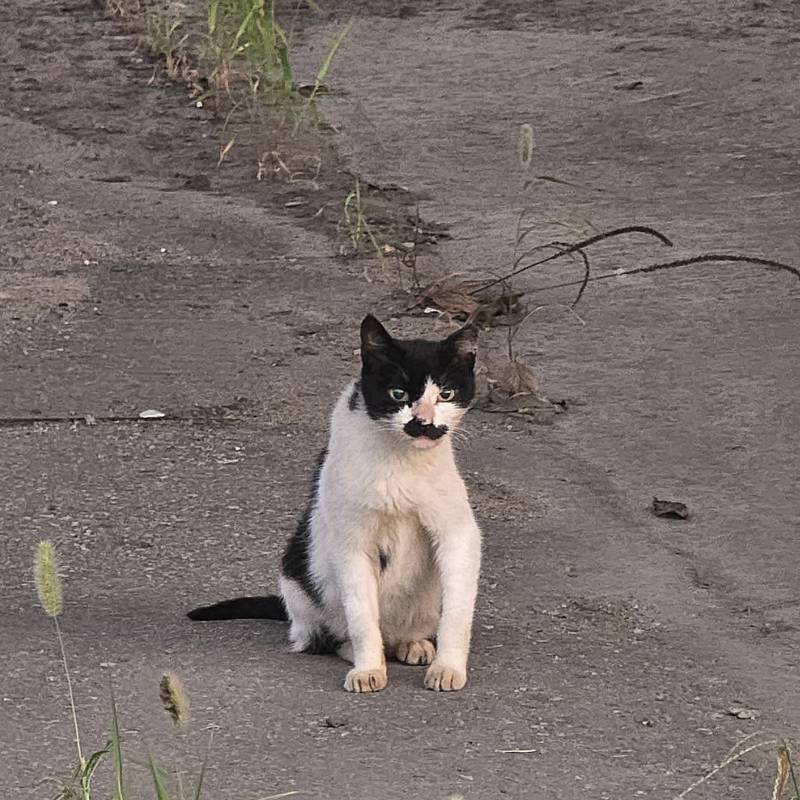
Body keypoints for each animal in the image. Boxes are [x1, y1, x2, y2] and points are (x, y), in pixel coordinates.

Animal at [189, 316, 482, 692]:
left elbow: (457, 614)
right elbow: (361, 617)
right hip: (299, 575)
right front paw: (368, 669)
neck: (400, 464)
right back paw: (358, 650)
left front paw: (448, 668)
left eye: (446, 394)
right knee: (324, 637)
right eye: (398, 394)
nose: (422, 422)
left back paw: (413, 643)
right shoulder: (352, 544)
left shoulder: (458, 534)